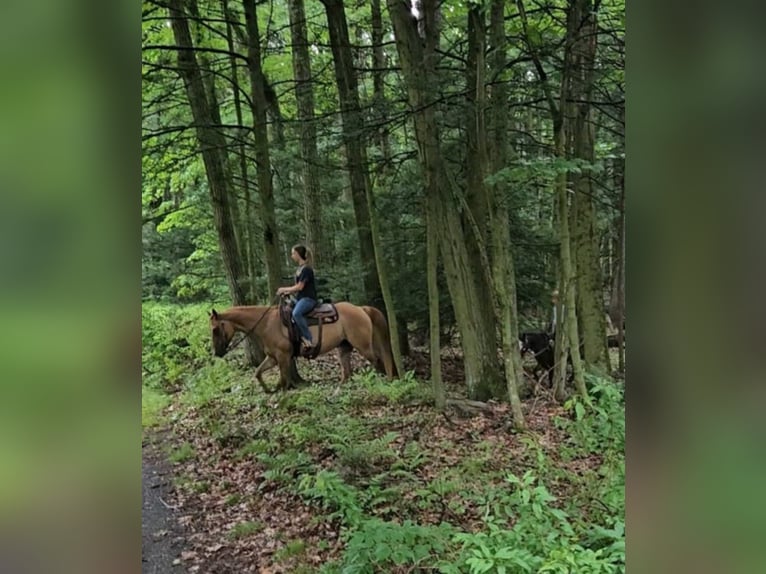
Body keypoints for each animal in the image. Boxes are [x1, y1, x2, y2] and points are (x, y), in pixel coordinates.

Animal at [213, 302, 400, 392]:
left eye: (215, 330)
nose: (217, 353)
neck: (266, 324)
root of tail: (361, 309)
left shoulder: (282, 357)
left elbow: (283, 380)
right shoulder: (273, 358)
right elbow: (258, 372)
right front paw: (268, 390)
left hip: (362, 345)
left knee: (377, 360)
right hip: (344, 347)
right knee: (346, 373)